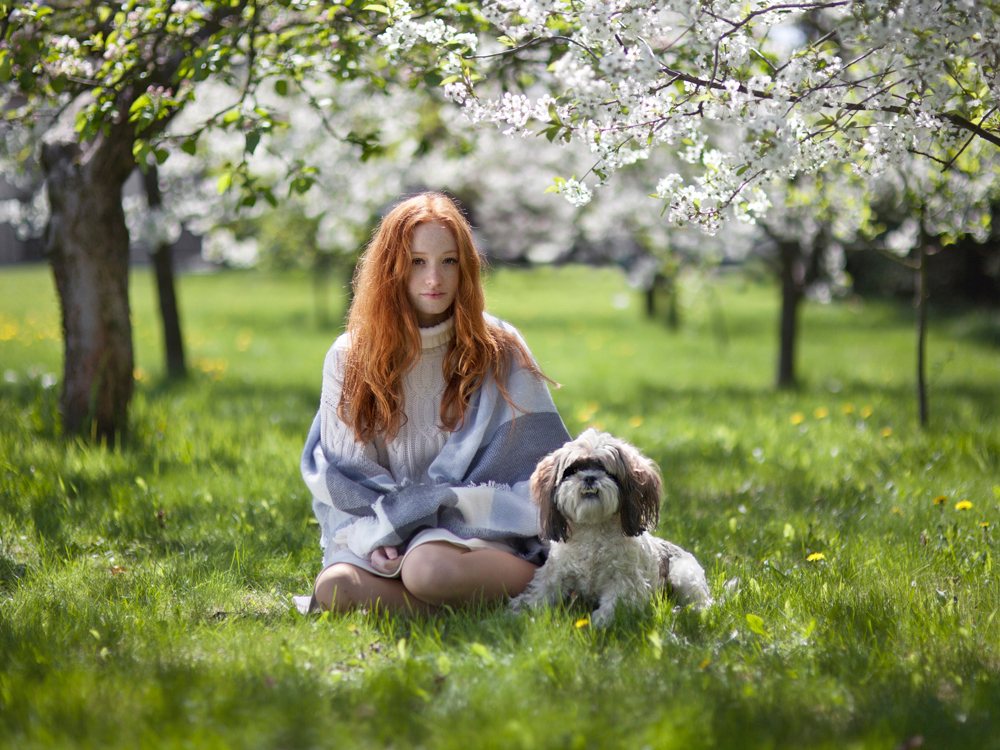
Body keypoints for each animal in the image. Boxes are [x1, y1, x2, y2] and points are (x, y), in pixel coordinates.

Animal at [512, 428, 716, 628]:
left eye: (605, 470)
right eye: (574, 470)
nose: (589, 477)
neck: (593, 527)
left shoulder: (625, 582)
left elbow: (615, 604)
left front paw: (600, 622)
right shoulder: (555, 574)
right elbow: (539, 592)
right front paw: (519, 611)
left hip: (683, 573)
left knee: (702, 600)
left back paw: (693, 610)